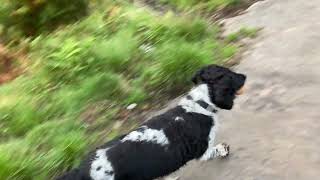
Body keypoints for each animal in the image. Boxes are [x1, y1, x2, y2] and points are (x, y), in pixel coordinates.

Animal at [57, 64, 248, 180]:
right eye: (231, 75)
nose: (244, 75)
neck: (198, 104)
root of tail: (82, 170)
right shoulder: (203, 151)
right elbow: (215, 151)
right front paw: (223, 150)